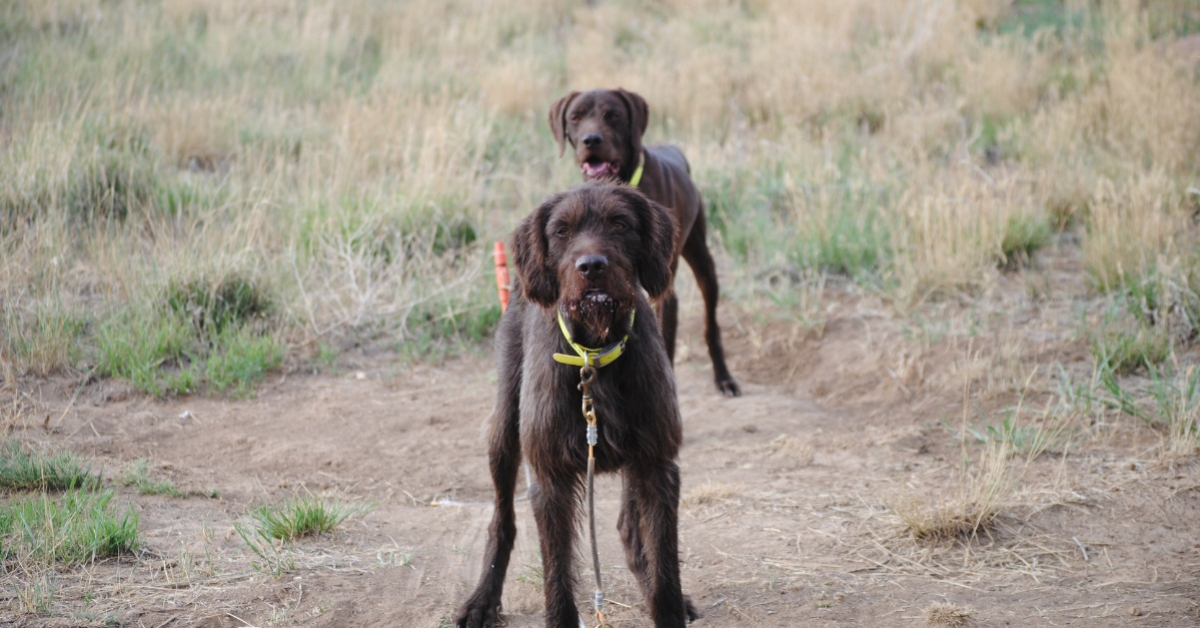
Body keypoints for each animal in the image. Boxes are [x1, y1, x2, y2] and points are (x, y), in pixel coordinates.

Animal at [458, 180, 700, 624]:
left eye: (620, 223)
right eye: (562, 231)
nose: (591, 267)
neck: (594, 353)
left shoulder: (657, 465)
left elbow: (665, 570)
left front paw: (665, 604)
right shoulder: (551, 477)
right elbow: (557, 577)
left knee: (630, 529)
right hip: (503, 432)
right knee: (502, 522)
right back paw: (482, 599)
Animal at [549, 86, 734, 396]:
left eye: (613, 115)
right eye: (575, 117)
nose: (591, 139)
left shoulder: (663, 294)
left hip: (703, 262)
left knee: (711, 324)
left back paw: (724, 378)